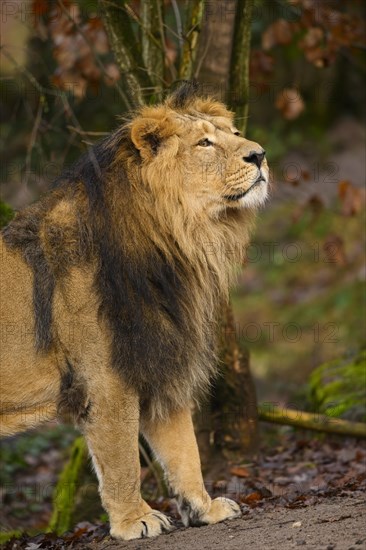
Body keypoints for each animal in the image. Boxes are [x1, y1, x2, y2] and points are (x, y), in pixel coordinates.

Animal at [0, 83, 268, 544]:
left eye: (235, 133)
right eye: (205, 143)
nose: (260, 155)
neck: (179, 244)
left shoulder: (160, 357)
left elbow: (183, 449)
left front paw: (204, 508)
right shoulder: (106, 378)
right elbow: (122, 457)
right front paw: (134, 521)